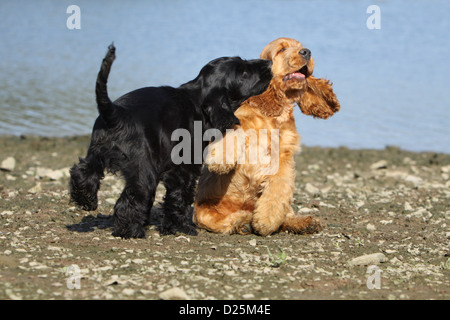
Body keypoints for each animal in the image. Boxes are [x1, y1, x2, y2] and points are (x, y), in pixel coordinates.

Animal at [70, 44, 270, 238]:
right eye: (243, 73)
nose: (268, 63)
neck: (198, 102)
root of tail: (116, 113)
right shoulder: (184, 168)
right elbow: (178, 198)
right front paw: (179, 227)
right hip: (144, 170)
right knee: (130, 199)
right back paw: (132, 231)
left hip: (97, 151)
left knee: (82, 171)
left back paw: (87, 201)